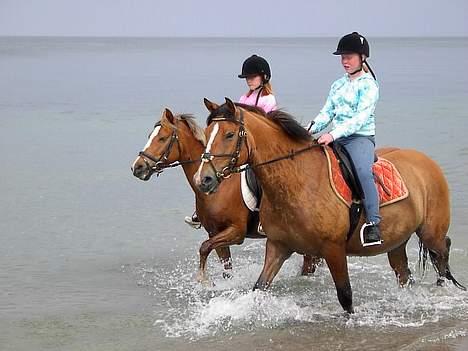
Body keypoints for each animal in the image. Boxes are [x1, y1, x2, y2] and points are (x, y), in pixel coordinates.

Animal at [133, 108, 320, 282]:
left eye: (162, 138)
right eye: (150, 136)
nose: (137, 167)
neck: (219, 188)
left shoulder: (236, 231)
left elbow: (204, 247)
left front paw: (203, 280)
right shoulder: (214, 232)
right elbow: (224, 265)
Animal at [194, 98, 464, 314]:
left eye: (229, 135)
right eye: (206, 134)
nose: (203, 179)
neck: (298, 181)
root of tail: (427, 162)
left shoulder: (333, 250)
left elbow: (345, 295)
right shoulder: (278, 246)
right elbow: (260, 287)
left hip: (430, 233)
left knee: (443, 251)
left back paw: (443, 287)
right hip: (396, 242)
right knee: (405, 274)